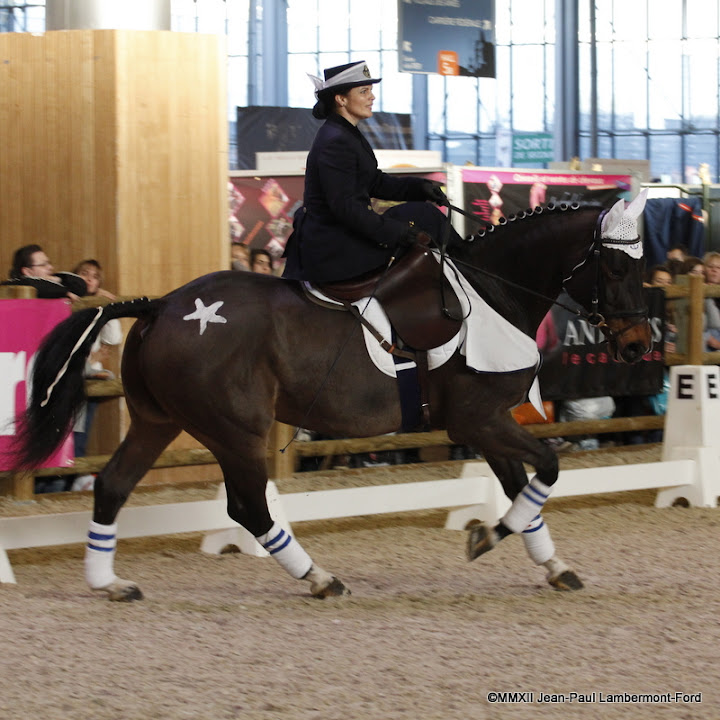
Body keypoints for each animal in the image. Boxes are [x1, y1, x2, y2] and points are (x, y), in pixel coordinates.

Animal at [12, 188, 652, 600]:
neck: (492, 291)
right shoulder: (477, 420)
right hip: (236, 429)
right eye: (618, 270)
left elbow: (526, 492)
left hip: (157, 420)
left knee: (114, 485)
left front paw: (552, 567)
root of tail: (164, 305)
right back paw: (319, 578)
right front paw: (484, 538)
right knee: (248, 507)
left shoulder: (489, 421)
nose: (640, 345)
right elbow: (547, 469)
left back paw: (110, 583)